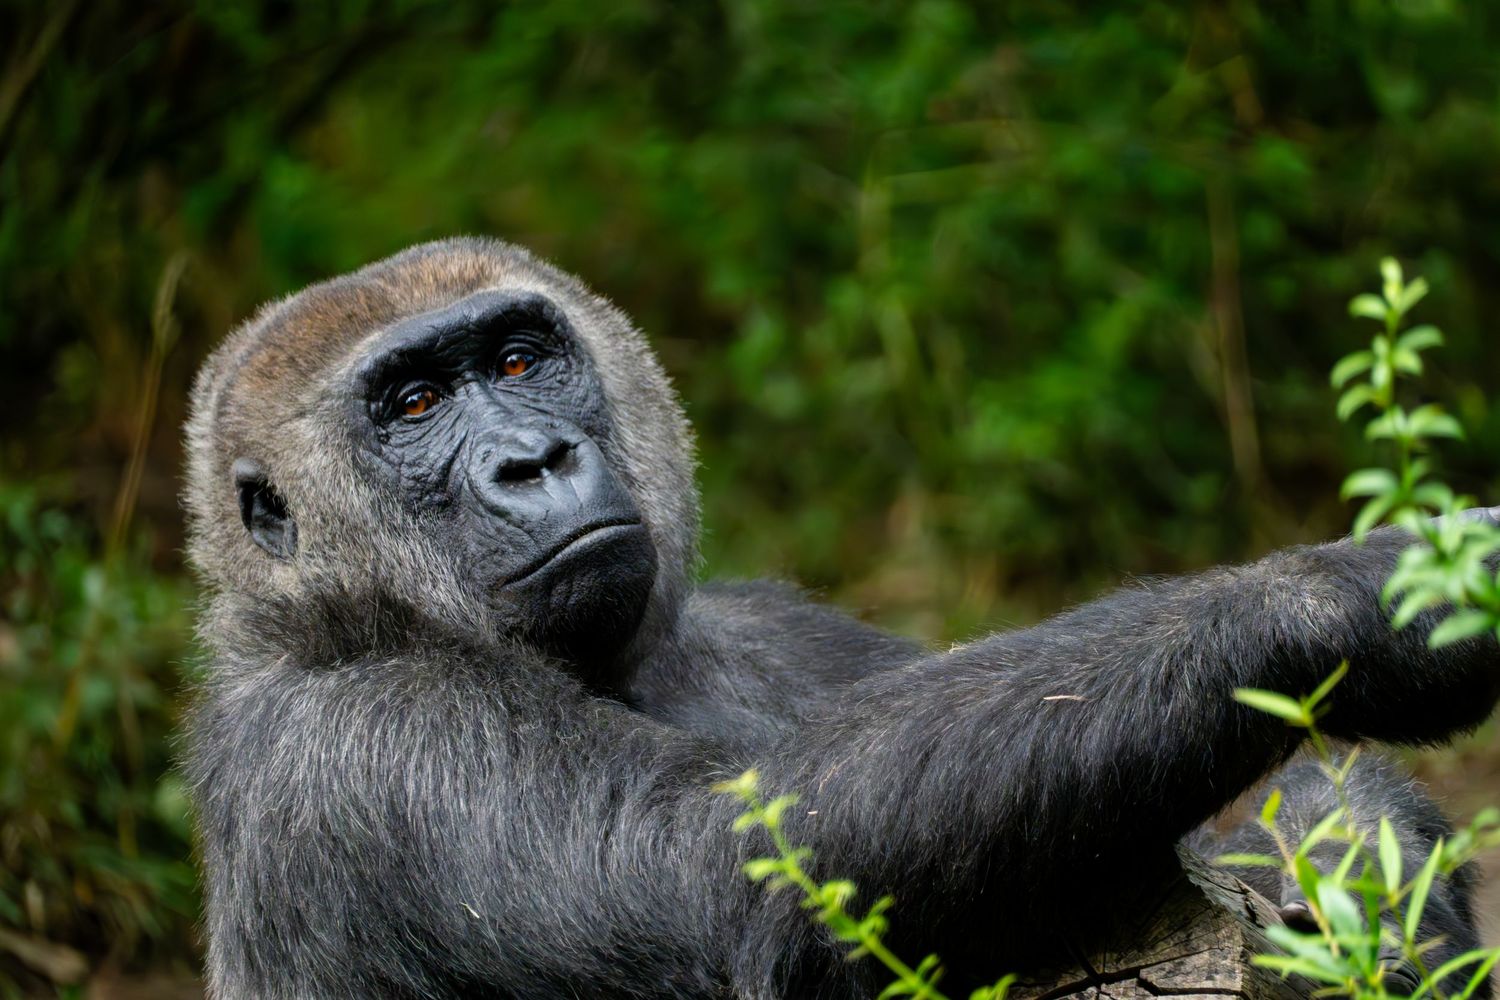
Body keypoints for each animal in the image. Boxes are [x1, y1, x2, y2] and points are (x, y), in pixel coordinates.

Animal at [182, 237, 1500, 998]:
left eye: (516, 362)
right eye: (411, 404)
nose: (533, 459)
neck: (336, 611)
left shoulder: (769, 623)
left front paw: (1377, 882)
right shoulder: (361, 745)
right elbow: (729, 870)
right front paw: (1358, 597)